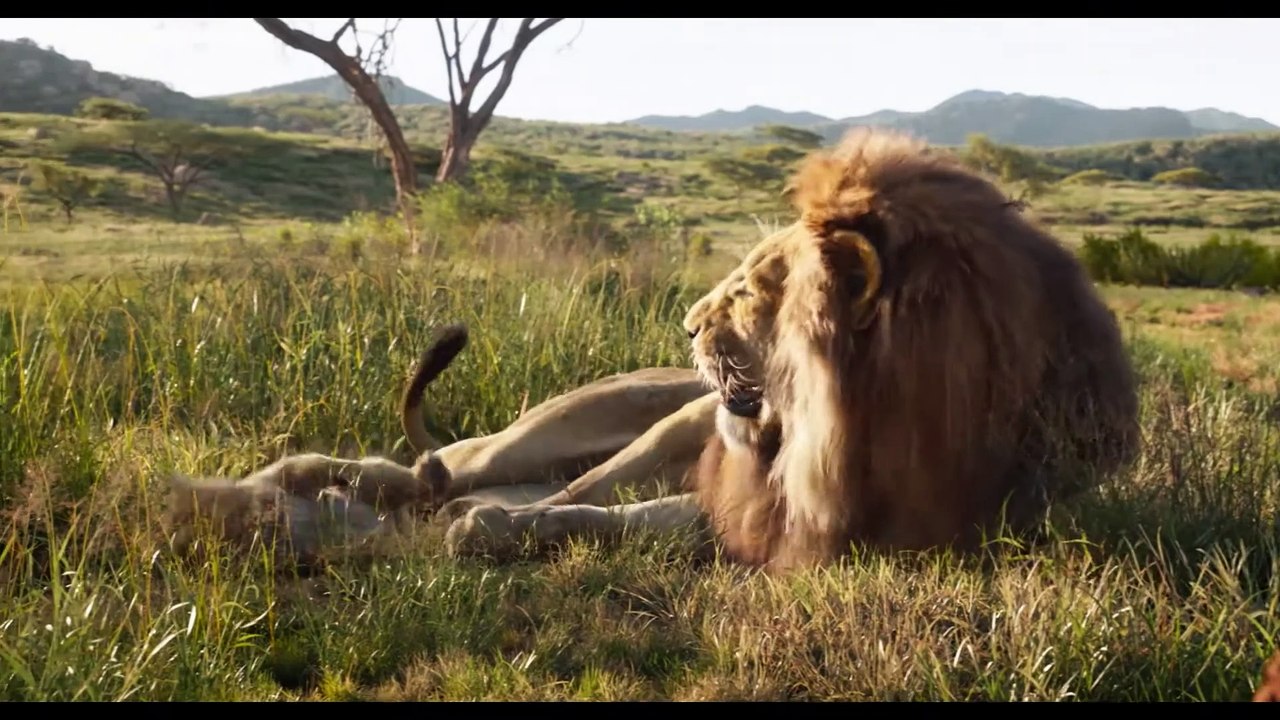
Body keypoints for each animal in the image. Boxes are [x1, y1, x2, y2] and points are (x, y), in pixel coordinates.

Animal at [441, 127, 1141, 572]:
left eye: (751, 290)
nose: (687, 325)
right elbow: (599, 513)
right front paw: (495, 529)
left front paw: (496, 527)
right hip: (630, 425)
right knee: (517, 470)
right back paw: (442, 490)